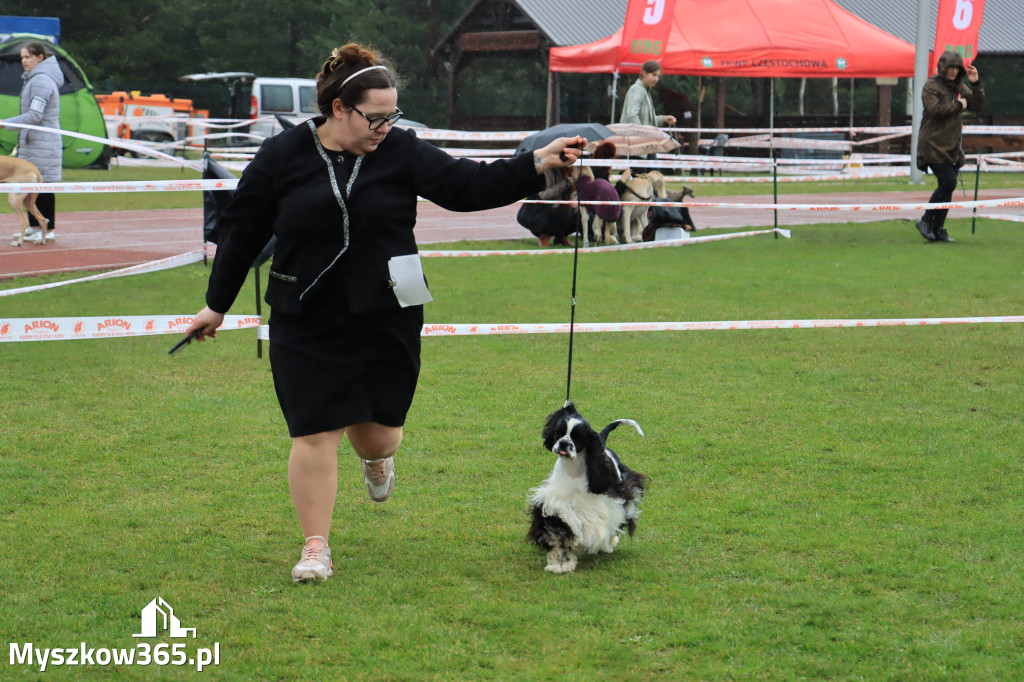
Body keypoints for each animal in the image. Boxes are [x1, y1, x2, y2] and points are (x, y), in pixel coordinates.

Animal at [528, 401, 647, 569]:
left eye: (578, 438)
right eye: (559, 432)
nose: (564, 443)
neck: (573, 469)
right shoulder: (558, 505)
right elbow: (559, 531)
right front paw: (560, 563)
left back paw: (608, 544)